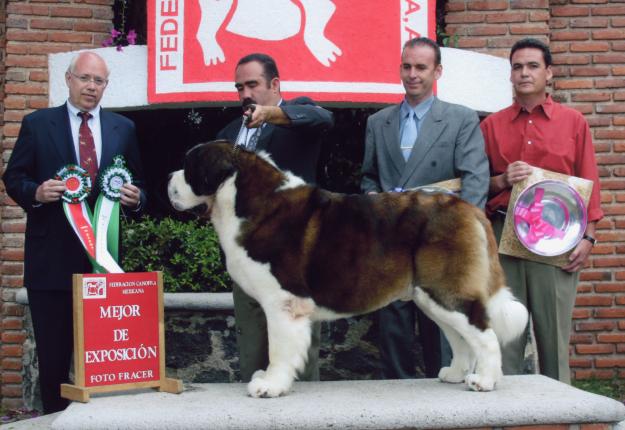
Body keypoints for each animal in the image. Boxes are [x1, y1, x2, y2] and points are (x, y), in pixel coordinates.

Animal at [167, 140, 528, 396]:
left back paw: (485, 380)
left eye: (188, 168)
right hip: (430, 296)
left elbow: (279, 347)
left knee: (483, 333)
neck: (243, 198)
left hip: (446, 290)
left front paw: (270, 385)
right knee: (460, 337)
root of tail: (467, 206)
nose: (168, 178)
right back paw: (455, 374)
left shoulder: (282, 301)